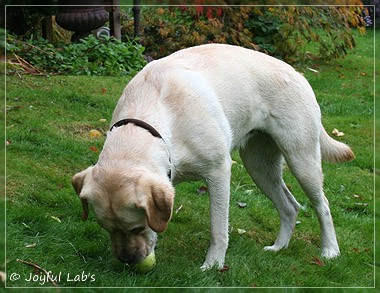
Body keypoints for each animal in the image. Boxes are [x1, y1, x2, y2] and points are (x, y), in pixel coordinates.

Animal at [72, 43, 354, 270]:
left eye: (138, 227)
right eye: (107, 229)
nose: (128, 260)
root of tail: (298, 74)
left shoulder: (219, 172)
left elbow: (218, 228)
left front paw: (213, 265)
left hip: (301, 159)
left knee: (322, 206)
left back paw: (330, 250)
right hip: (259, 167)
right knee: (290, 207)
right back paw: (279, 248)